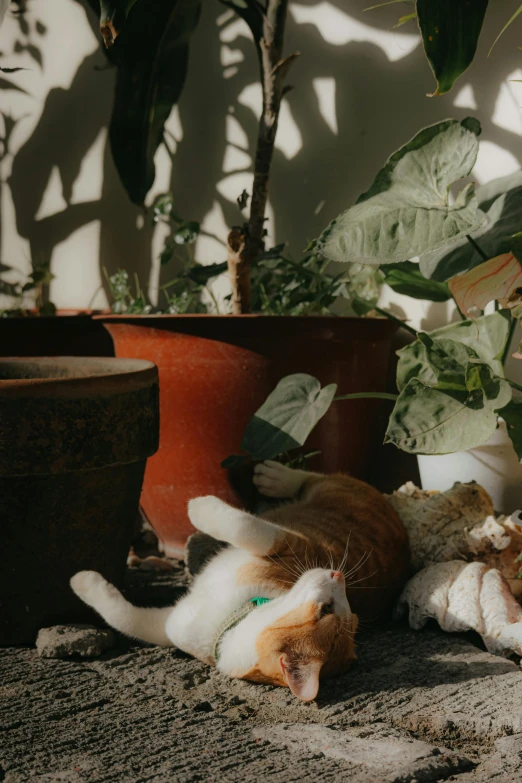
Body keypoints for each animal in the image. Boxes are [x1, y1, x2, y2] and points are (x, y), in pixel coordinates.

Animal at [71, 462, 408, 700]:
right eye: (329, 610)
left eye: (337, 609)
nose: (338, 576)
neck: (228, 619)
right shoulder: (171, 625)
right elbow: (124, 618)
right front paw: (85, 584)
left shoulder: (289, 542)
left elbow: (243, 525)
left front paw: (199, 506)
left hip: (336, 488)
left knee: (317, 477)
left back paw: (275, 476)